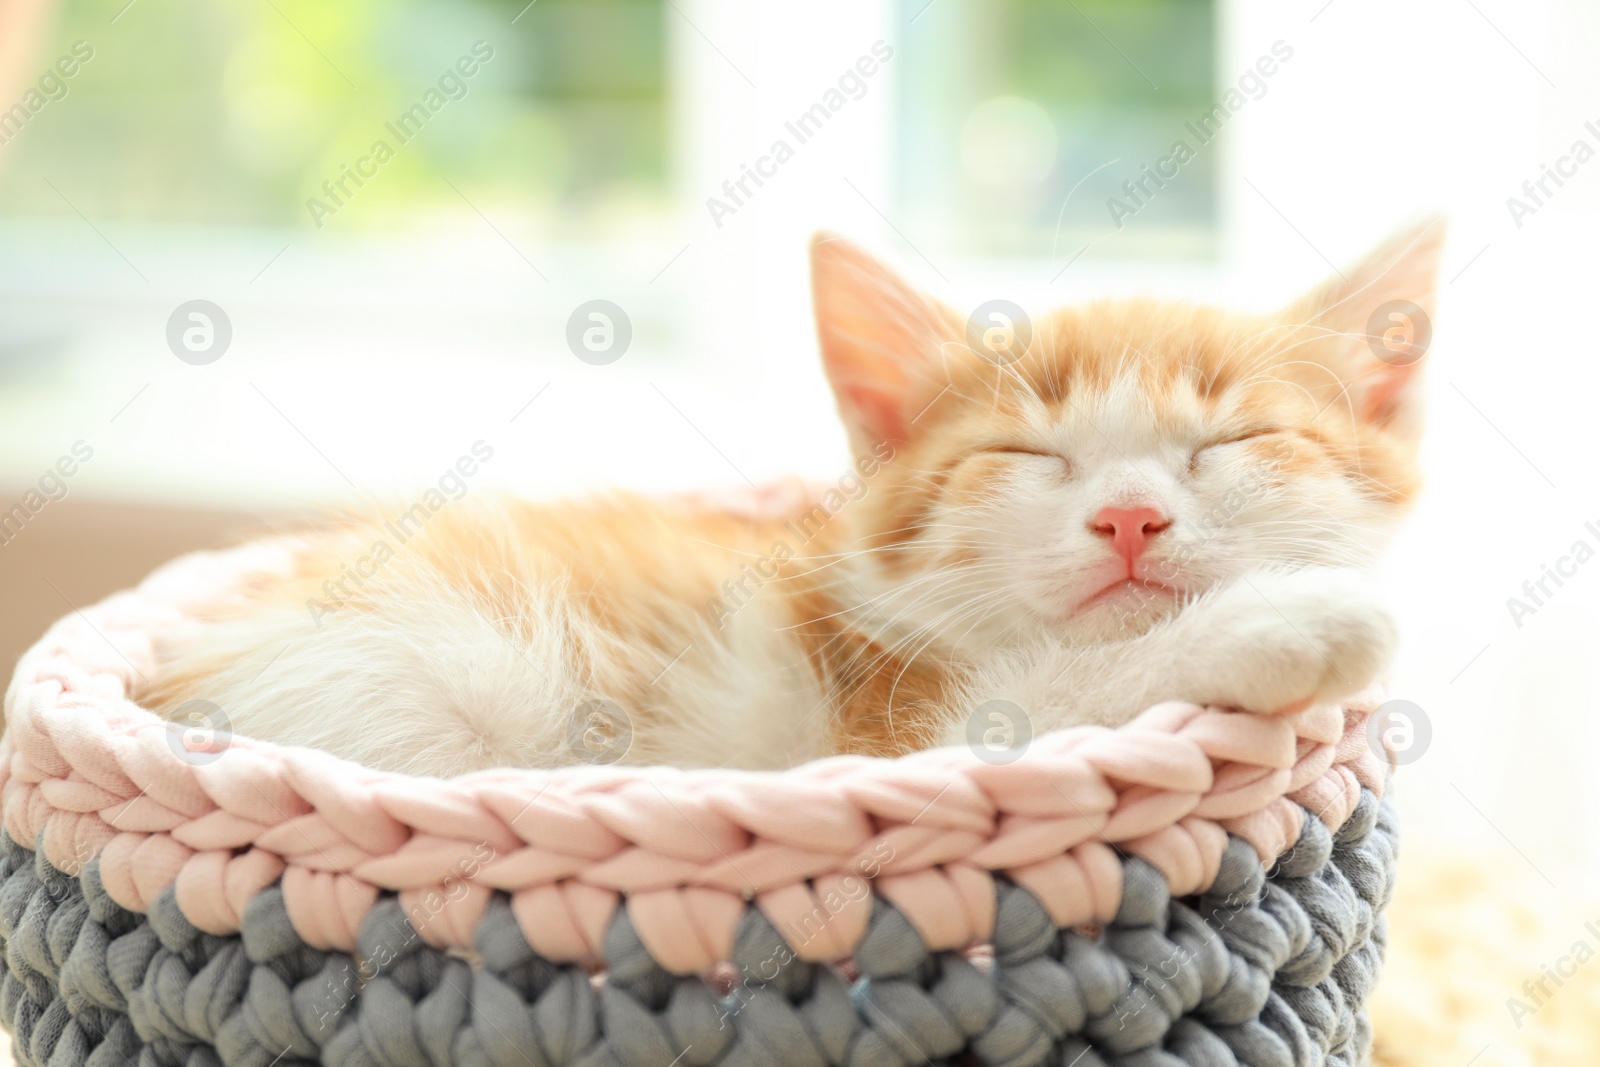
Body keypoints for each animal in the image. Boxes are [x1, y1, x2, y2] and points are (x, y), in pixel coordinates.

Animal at [144, 225, 1446, 777]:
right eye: (1025, 453)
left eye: (1234, 439)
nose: (1129, 518)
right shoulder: (887, 734)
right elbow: (1059, 693)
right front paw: (1290, 619)